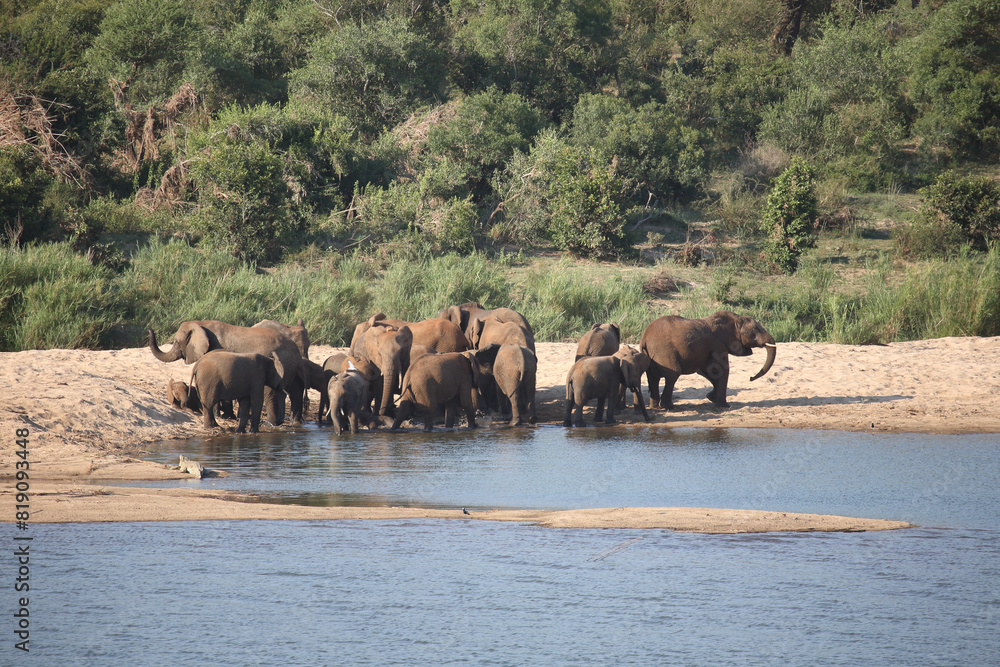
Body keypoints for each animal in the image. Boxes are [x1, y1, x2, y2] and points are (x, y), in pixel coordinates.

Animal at [149, 320, 305, 425]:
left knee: (270, 392)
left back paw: (271, 423)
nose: (150, 329)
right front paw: (228, 417)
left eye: (176, 342)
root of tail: (295, 350)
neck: (201, 323)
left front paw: (221, 416)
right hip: (289, 367)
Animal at [639, 310, 776, 410]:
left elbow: (707, 371)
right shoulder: (718, 344)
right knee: (673, 374)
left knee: (653, 378)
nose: (750, 378)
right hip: (664, 352)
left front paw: (711, 398)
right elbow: (721, 370)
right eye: (755, 331)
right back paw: (669, 407)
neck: (735, 318)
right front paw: (724, 406)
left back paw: (655, 407)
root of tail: (644, 338)